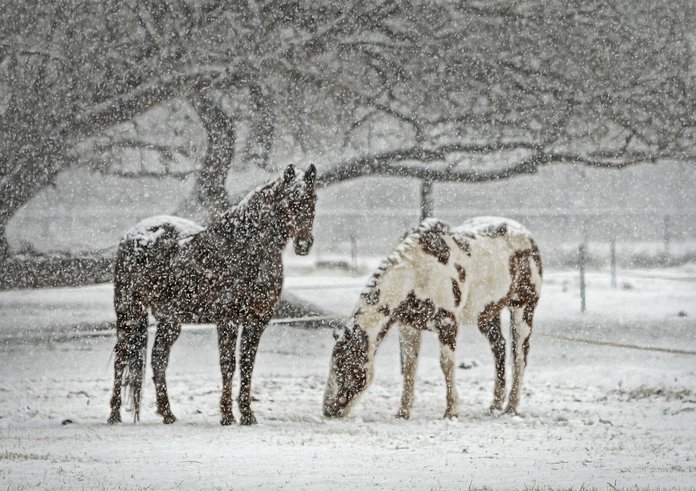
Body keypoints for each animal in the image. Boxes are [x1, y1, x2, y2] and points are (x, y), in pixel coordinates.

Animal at [108, 164, 317, 426]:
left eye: (313, 198)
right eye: (289, 200)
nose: (304, 244)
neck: (245, 248)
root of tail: (132, 235)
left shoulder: (256, 321)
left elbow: (247, 364)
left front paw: (247, 414)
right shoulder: (228, 320)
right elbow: (228, 365)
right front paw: (227, 415)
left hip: (170, 320)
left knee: (158, 359)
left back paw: (168, 413)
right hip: (129, 312)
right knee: (121, 357)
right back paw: (114, 414)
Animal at [323, 216, 542, 420]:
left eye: (345, 366)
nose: (328, 410)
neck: (416, 273)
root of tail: (527, 235)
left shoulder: (447, 324)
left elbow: (446, 365)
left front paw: (451, 412)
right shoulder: (409, 326)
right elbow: (409, 367)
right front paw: (403, 412)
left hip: (523, 308)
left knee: (519, 356)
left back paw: (511, 408)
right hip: (487, 314)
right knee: (499, 348)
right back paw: (495, 405)